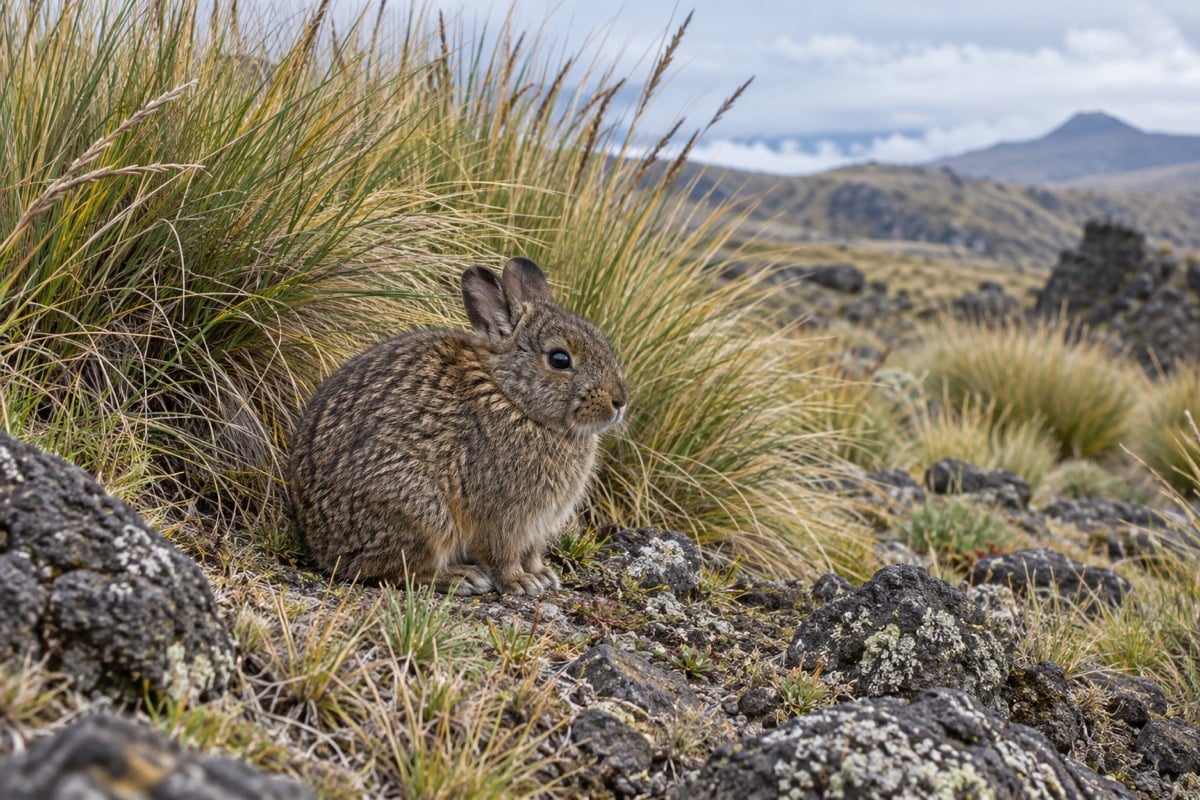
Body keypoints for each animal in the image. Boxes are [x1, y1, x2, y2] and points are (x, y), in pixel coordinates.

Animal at [286, 257, 627, 595]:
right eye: (559, 359)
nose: (620, 400)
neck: (512, 398)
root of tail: (320, 544)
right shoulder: (503, 516)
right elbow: (502, 554)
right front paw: (520, 582)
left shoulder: (536, 527)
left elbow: (532, 552)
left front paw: (543, 575)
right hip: (422, 512)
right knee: (390, 572)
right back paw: (461, 578)